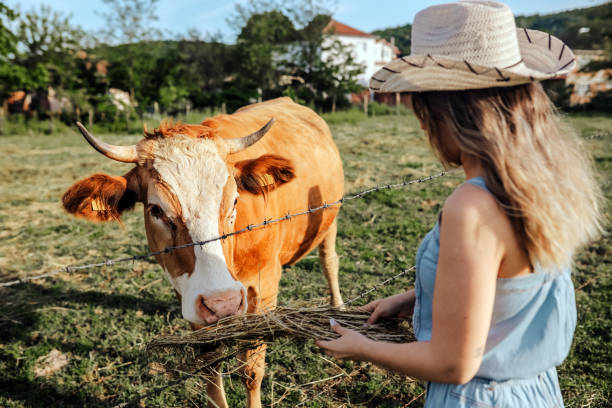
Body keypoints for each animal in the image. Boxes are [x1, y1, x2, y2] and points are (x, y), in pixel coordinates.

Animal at [64, 96, 346, 408]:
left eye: (235, 201)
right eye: (156, 210)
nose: (223, 303)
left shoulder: (264, 288)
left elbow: (251, 369)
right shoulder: (190, 298)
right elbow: (209, 368)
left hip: (330, 217)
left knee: (329, 261)